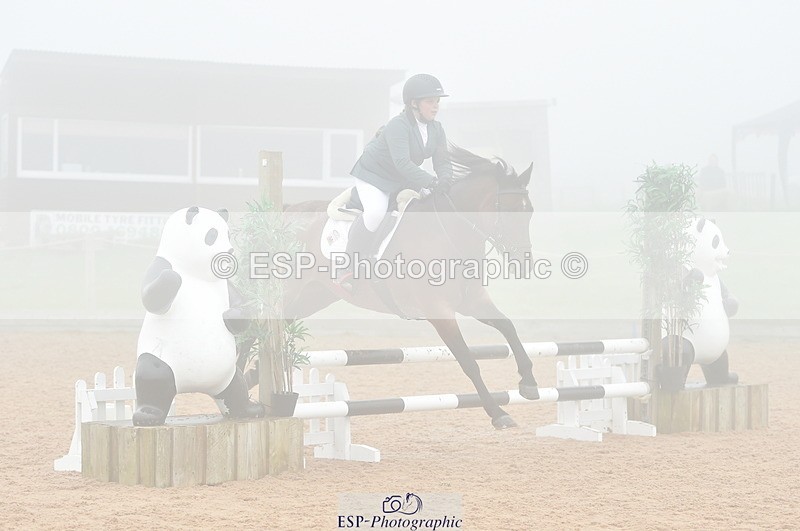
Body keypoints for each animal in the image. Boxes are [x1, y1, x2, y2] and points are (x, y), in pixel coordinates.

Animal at [276, 146, 539, 429]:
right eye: (508, 211)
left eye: (530, 212)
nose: (523, 263)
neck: (449, 235)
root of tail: (289, 211)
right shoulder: (440, 312)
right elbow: (468, 361)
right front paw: (498, 413)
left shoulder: (474, 302)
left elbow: (507, 326)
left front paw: (529, 383)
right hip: (288, 294)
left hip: (311, 298)